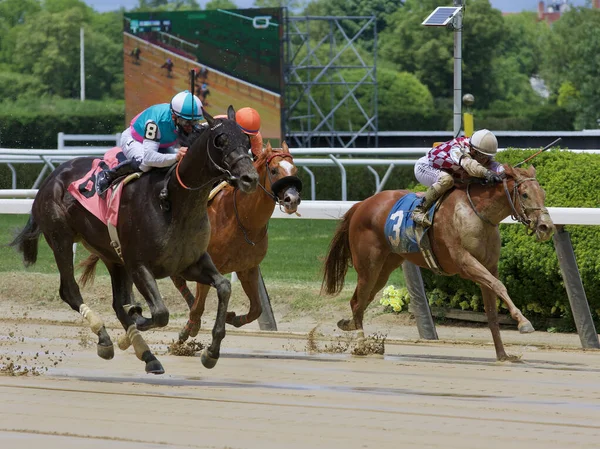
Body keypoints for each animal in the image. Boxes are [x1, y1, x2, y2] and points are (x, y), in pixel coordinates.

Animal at [9, 107, 258, 372]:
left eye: (247, 141)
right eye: (220, 140)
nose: (249, 178)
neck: (173, 202)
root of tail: (53, 176)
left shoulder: (189, 263)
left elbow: (223, 286)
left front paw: (211, 352)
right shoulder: (139, 265)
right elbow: (159, 313)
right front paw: (132, 325)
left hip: (111, 255)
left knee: (118, 302)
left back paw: (148, 356)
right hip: (61, 239)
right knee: (70, 291)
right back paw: (106, 338)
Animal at [322, 164, 556, 360]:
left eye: (543, 194)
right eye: (525, 194)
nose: (546, 227)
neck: (477, 212)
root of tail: (362, 204)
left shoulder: (489, 266)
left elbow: (491, 309)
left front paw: (503, 354)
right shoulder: (464, 263)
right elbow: (499, 286)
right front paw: (524, 323)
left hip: (385, 267)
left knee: (361, 301)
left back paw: (349, 325)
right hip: (368, 265)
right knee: (357, 301)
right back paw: (361, 345)